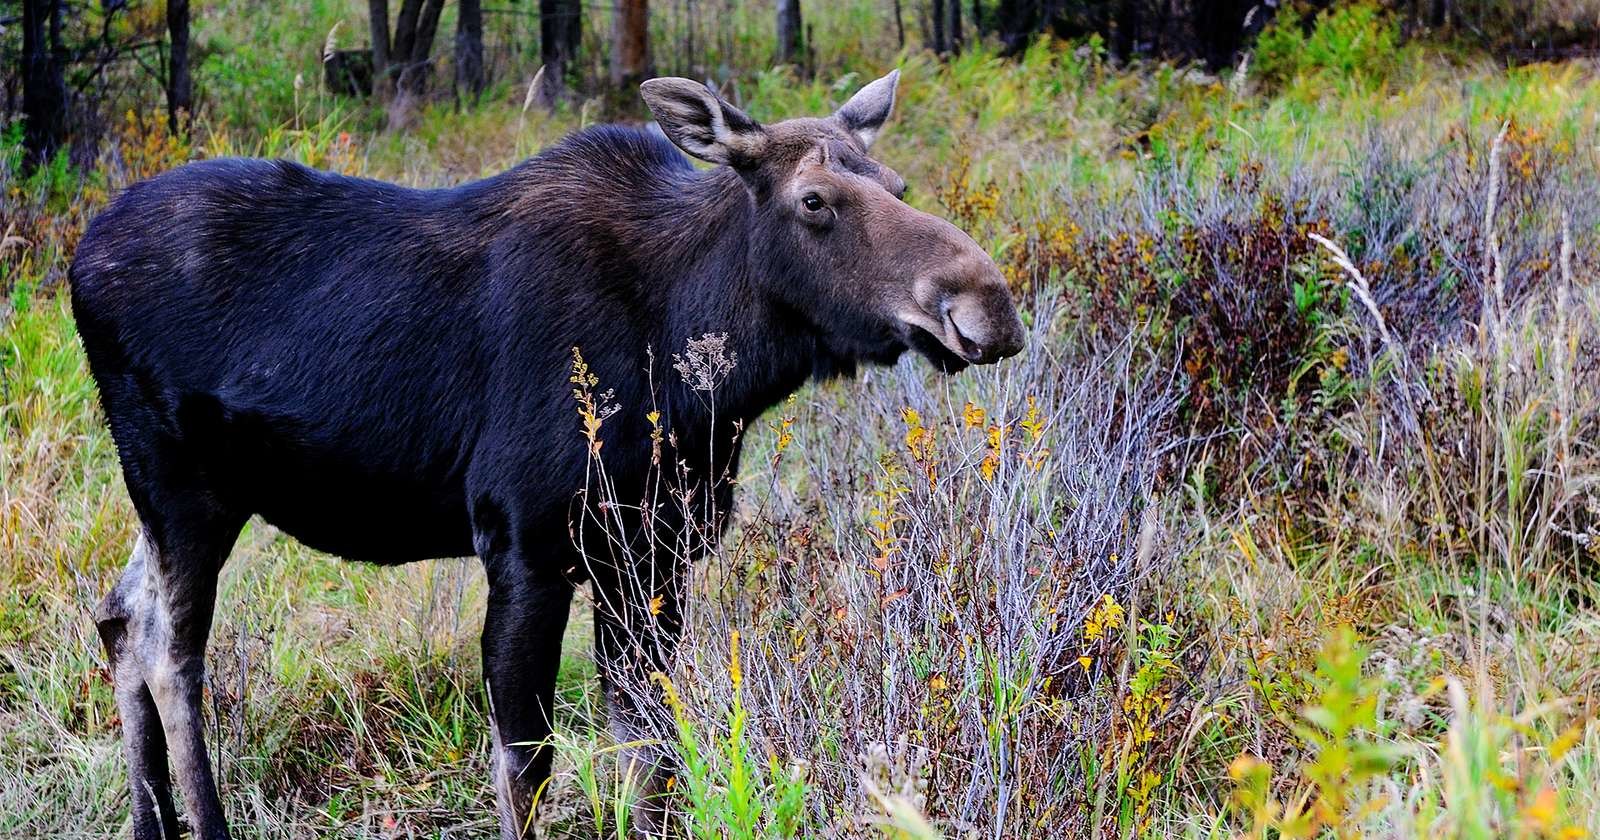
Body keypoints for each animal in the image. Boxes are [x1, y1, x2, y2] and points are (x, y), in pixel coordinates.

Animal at [68, 72, 1017, 838]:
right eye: (815, 200)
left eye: (897, 184)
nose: (987, 305)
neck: (697, 358)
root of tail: (78, 257)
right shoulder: (525, 544)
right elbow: (527, 764)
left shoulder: (652, 552)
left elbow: (648, 751)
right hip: (180, 485)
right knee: (170, 654)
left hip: (187, 497)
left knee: (118, 615)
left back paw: (148, 822)